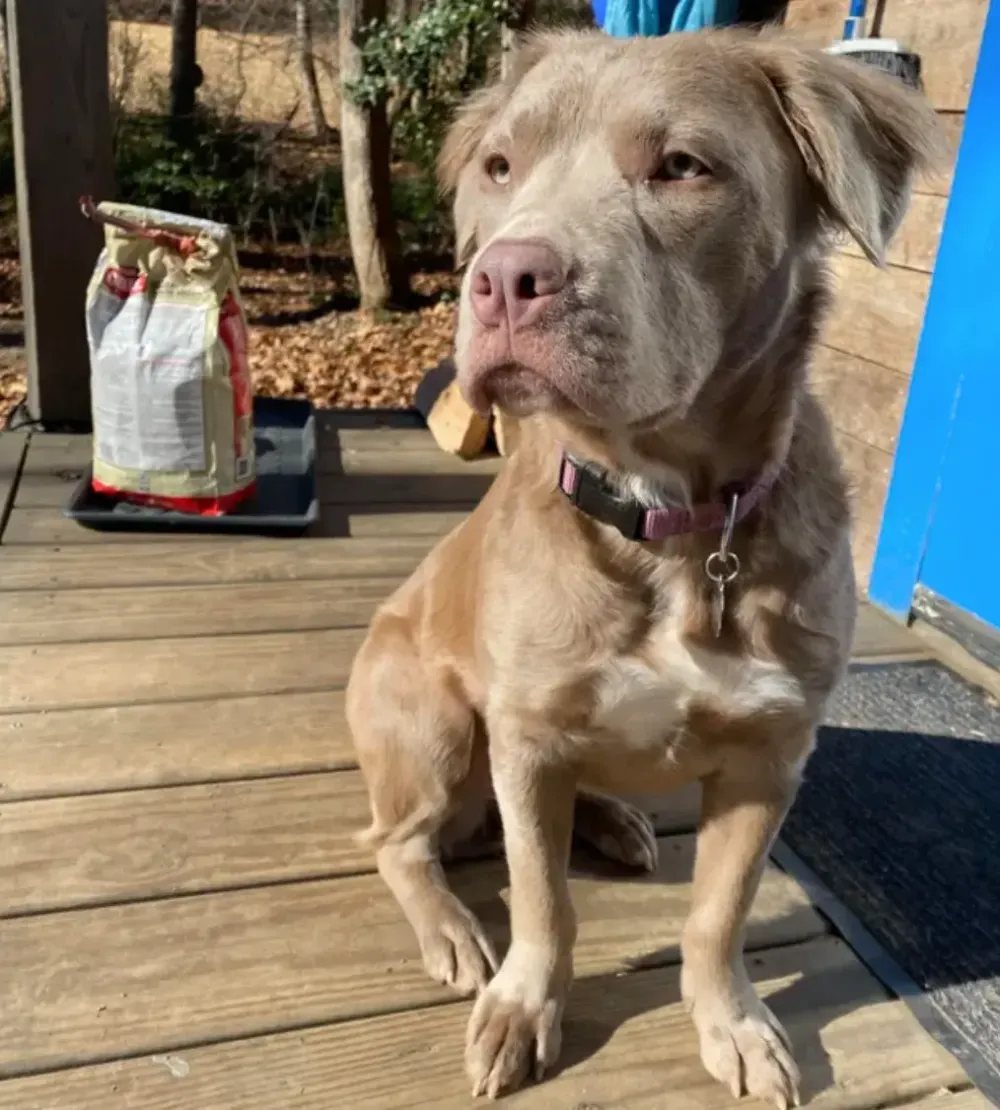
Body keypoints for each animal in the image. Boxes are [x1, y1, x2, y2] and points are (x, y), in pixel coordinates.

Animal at [344, 23, 936, 1101]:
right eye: (500, 165)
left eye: (682, 167)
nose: (502, 278)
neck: (666, 518)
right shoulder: (528, 740)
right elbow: (543, 903)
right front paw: (524, 1010)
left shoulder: (770, 757)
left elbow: (718, 915)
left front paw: (734, 1025)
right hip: (433, 721)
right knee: (398, 843)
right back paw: (452, 929)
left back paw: (614, 820)